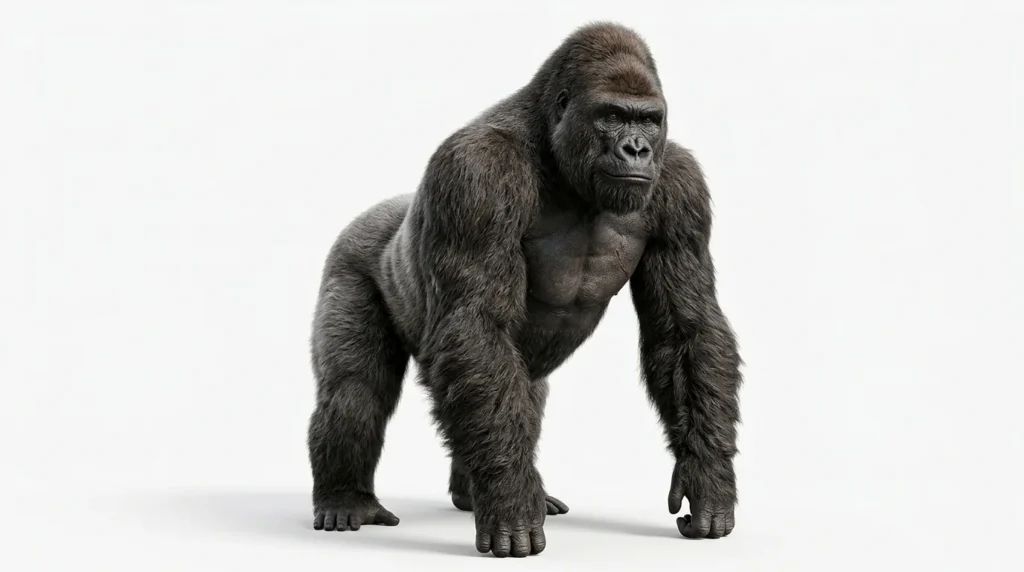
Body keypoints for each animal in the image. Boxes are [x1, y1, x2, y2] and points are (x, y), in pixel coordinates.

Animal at [306, 22, 743, 558]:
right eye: (612, 116)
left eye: (648, 119)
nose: (637, 149)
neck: (556, 154)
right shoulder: (476, 174)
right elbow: (476, 323)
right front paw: (511, 501)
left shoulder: (682, 187)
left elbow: (686, 331)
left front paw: (707, 474)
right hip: (349, 256)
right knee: (357, 391)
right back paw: (347, 497)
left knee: (513, 392)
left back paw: (470, 491)